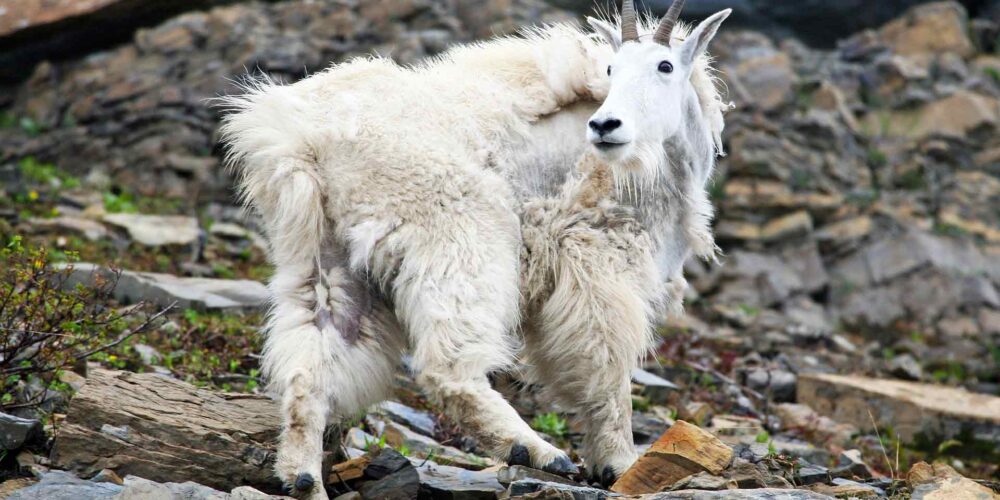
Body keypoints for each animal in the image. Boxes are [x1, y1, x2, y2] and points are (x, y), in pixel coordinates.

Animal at [219, 1, 732, 496]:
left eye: (665, 65)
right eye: (611, 69)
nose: (605, 125)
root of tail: (302, 141)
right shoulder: (598, 256)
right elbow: (606, 365)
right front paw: (619, 462)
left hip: (323, 256)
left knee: (311, 359)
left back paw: (303, 477)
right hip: (462, 236)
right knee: (445, 366)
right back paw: (537, 451)